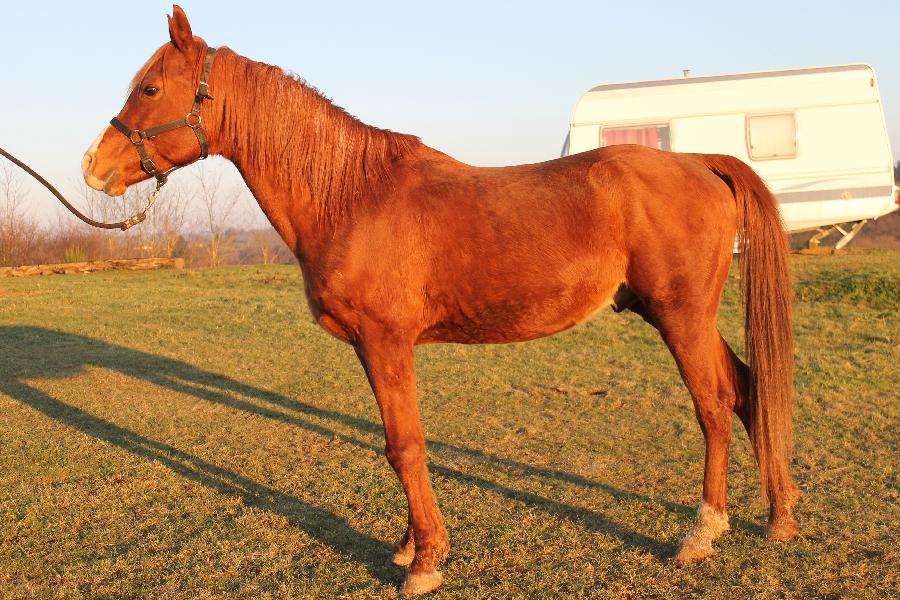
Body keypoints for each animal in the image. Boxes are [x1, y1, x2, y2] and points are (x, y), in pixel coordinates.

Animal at [84, 8, 800, 596]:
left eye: (150, 89)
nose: (94, 166)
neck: (354, 194)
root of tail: (701, 161)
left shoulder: (386, 340)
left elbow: (406, 444)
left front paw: (425, 562)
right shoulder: (370, 348)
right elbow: (393, 441)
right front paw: (407, 547)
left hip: (681, 317)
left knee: (714, 405)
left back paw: (703, 532)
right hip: (685, 317)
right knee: (749, 389)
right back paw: (780, 513)